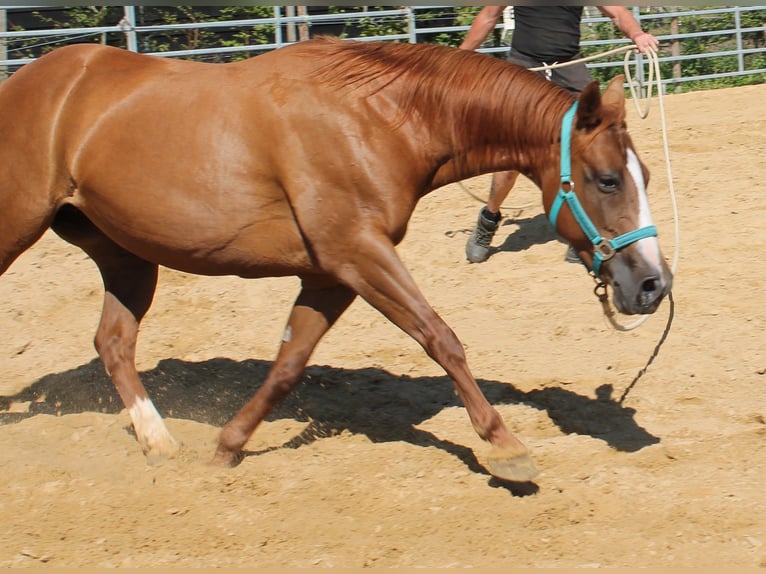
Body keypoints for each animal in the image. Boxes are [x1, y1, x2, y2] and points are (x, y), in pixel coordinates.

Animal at [0, 37, 672, 482]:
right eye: (608, 180)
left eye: (643, 174)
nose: (652, 284)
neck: (379, 119)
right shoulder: (358, 253)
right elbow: (441, 338)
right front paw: (505, 448)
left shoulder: (332, 273)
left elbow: (289, 364)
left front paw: (228, 447)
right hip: (19, 229)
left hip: (126, 255)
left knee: (113, 343)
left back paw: (159, 442)